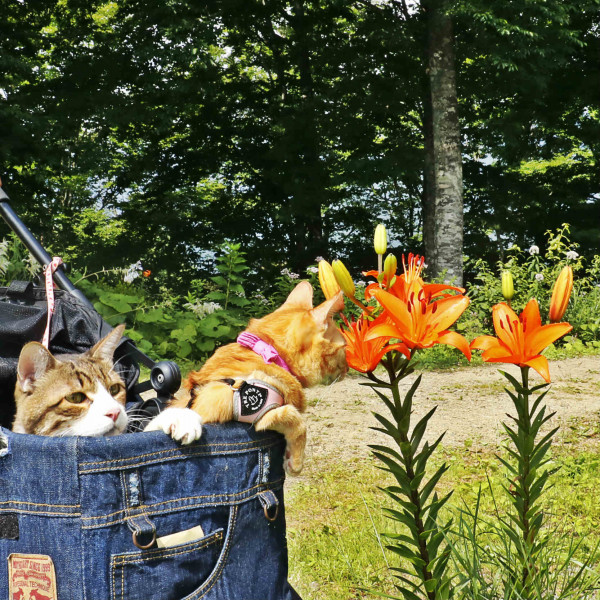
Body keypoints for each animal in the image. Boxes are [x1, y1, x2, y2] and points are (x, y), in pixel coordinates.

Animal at [146, 282, 350, 474]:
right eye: (344, 348)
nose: (348, 368)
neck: (269, 353)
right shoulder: (258, 413)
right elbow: (297, 421)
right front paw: (296, 462)